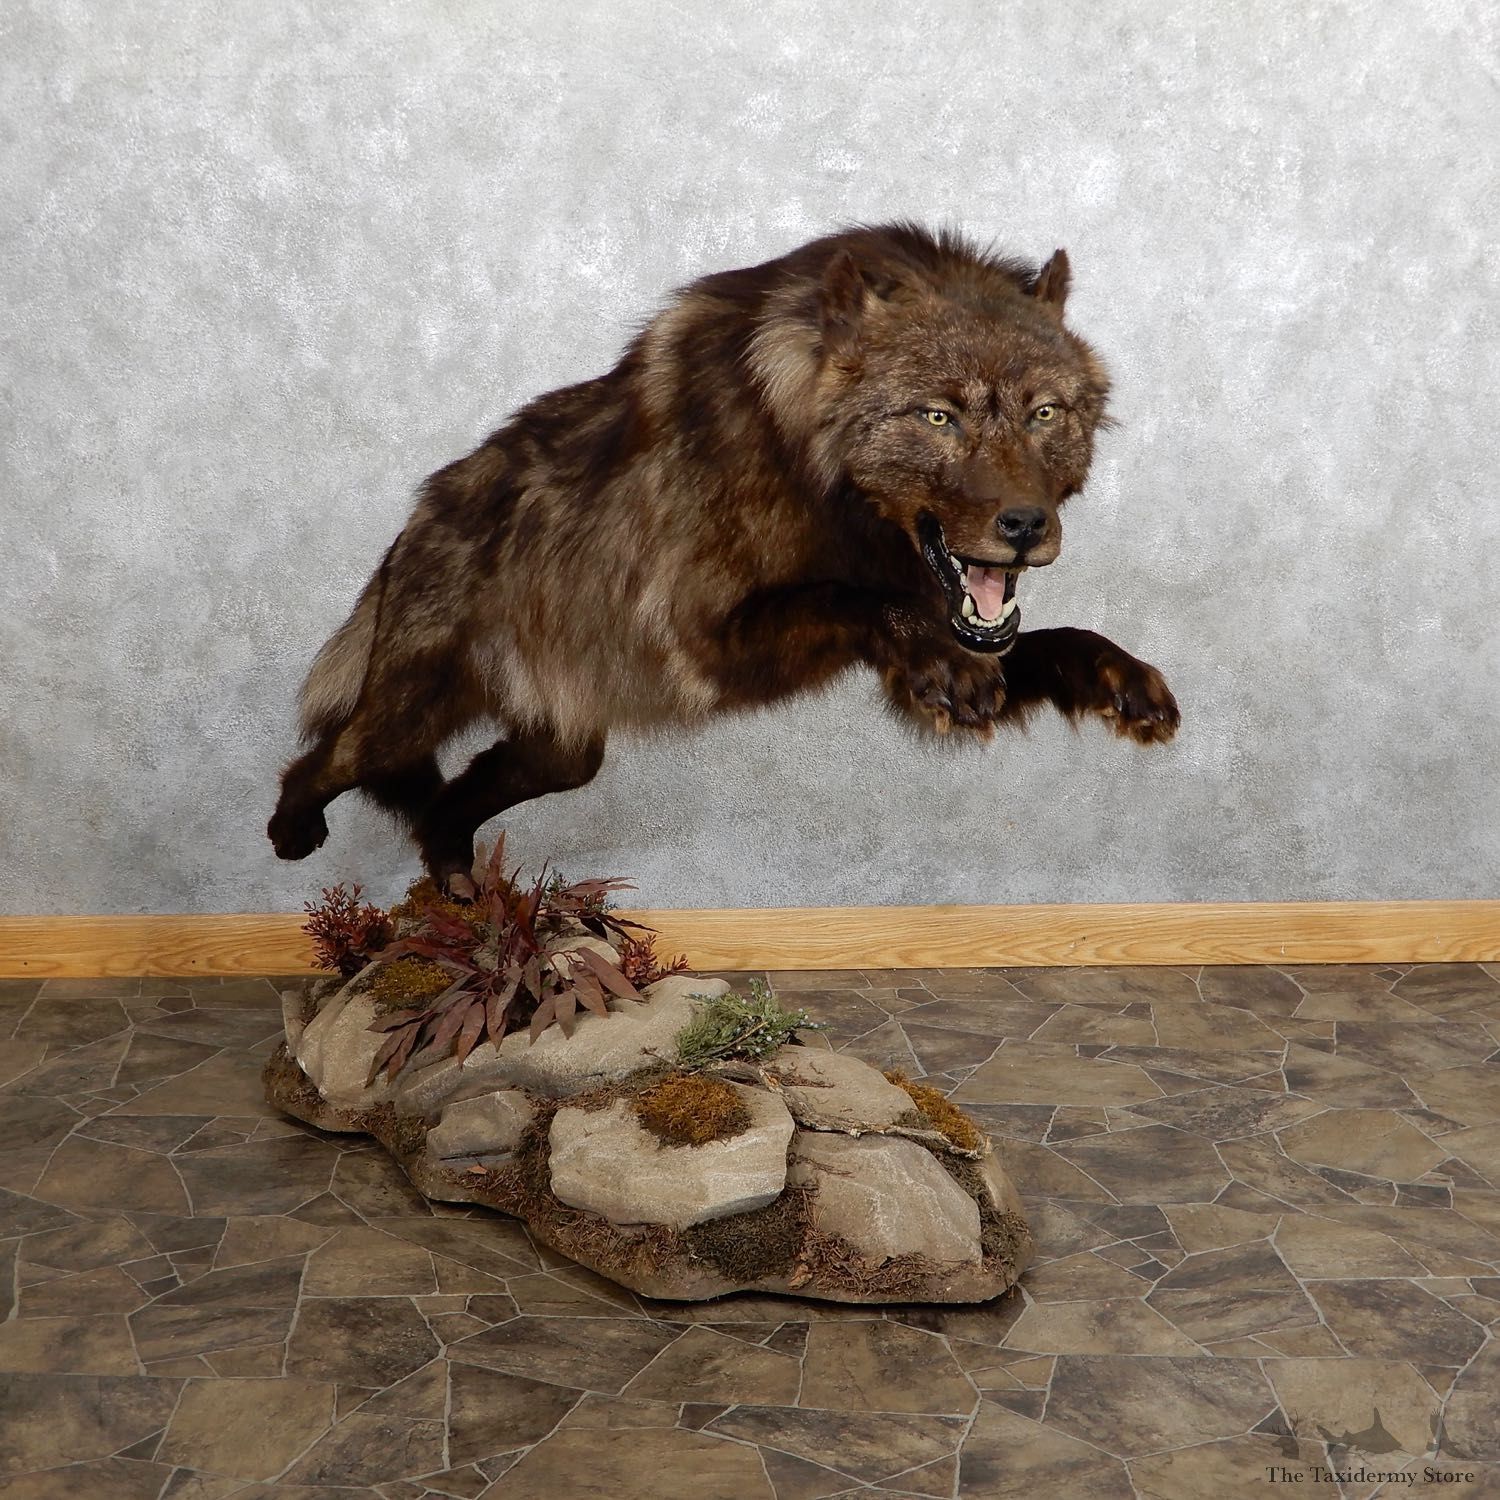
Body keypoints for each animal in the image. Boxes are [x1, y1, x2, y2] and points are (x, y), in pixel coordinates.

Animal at [269, 222, 1179, 893]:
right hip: (408, 717)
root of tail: (415, 516)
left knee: (446, 804)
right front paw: (948, 659)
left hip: (561, 755)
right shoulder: (704, 642)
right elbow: (850, 599)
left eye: (1045, 413)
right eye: (939, 417)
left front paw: (1119, 677)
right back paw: (292, 828)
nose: (1025, 523)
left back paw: (457, 876)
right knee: (327, 754)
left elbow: (1041, 641)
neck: (808, 472)